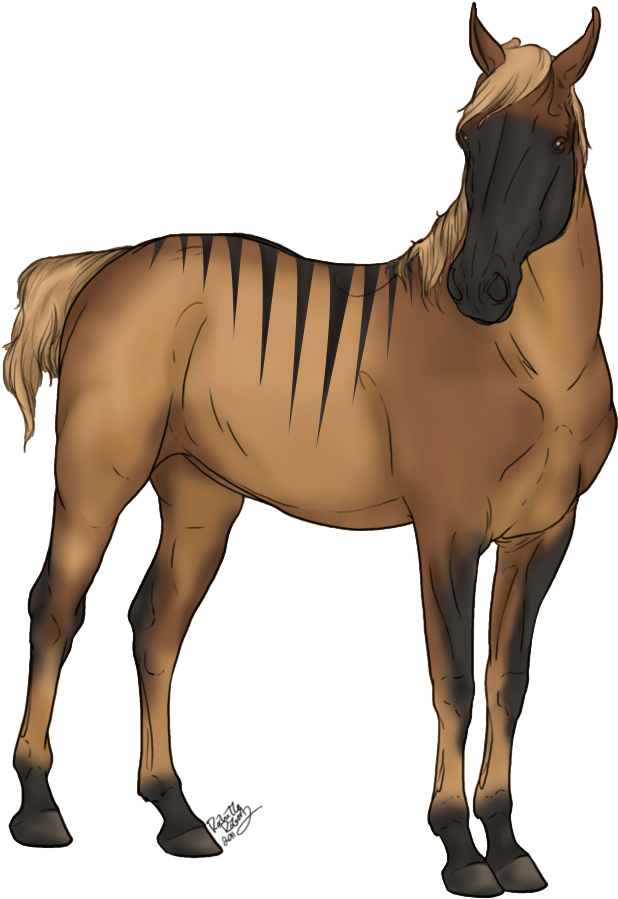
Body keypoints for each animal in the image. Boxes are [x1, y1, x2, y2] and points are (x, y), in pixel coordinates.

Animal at [3, 3, 614, 891]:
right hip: (98, 473)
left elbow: (508, 682)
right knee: (57, 606)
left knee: (155, 625)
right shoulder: (449, 525)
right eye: (467, 141)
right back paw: (40, 809)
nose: (479, 289)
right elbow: (455, 678)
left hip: (201, 492)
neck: (531, 365)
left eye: (559, 143)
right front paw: (463, 852)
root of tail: (106, 266)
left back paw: (179, 819)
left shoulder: (545, 532)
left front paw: (510, 848)